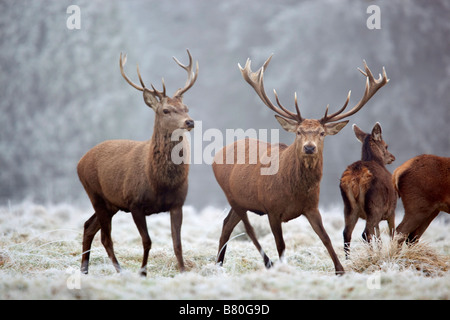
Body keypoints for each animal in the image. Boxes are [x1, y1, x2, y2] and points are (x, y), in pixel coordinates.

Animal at [78, 50, 199, 278]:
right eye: (166, 110)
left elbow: (177, 243)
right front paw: (142, 273)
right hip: (94, 193)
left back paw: (84, 270)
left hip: (111, 203)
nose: (190, 121)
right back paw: (119, 271)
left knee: (88, 226)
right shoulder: (135, 203)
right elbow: (147, 241)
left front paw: (182, 272)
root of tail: (80, 161)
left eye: (186, 107)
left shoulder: (178, 203)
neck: (159, 182)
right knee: (105, 237)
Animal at [213, 55, 388, 276]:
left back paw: (219, 263)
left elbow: (326, 238)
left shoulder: (312, 206)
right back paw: (264, 262)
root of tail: (217, 154)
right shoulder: (272, 208)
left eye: (322, 133)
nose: (309, 147)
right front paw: (283, 268)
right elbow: (281, 245)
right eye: (298, 131)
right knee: (247, 228)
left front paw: (340, 270)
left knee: (227, 224)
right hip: (232, 195)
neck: (293, 190)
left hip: (243, 200)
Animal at [340, 122, 396, 258]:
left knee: (347, 233)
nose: (392, 157)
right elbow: (392, 233)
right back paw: (371, 257)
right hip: (374, 205)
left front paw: (380, 252)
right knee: (365, 233)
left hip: (348, 207)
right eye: (386, 146)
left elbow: (379, 237)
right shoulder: (391, 210)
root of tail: (356, 177)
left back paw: (348, 260)